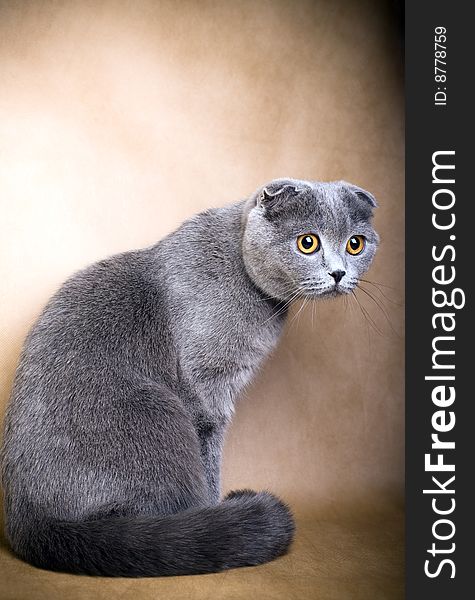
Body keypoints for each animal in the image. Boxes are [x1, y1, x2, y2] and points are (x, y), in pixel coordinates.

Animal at [0, 177, 380, 576]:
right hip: (157, 411)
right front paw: (213, 510)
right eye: (308, 242)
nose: (338, 273)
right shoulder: (206, 391)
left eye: (355, 244)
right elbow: (209, 460)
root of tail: (30, 522)